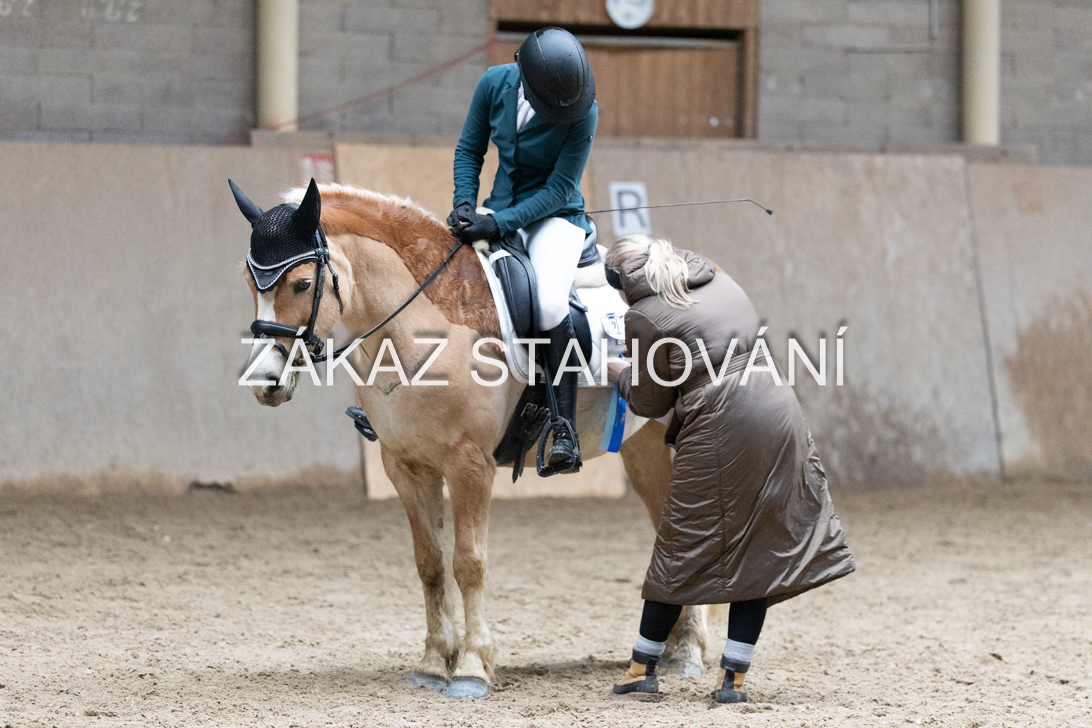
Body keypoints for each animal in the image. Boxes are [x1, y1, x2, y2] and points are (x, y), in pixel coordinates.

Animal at [238, 182, 714, 698]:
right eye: (249, 283)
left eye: (302, 284)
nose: (264, 381)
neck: (421, 328)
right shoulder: (405, 465)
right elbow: (429, 563)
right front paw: (432, 662)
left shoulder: (469, 463)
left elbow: (468, 563)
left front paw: (471, 667)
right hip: (644, 450)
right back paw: (667, 650)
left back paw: (689, 653)